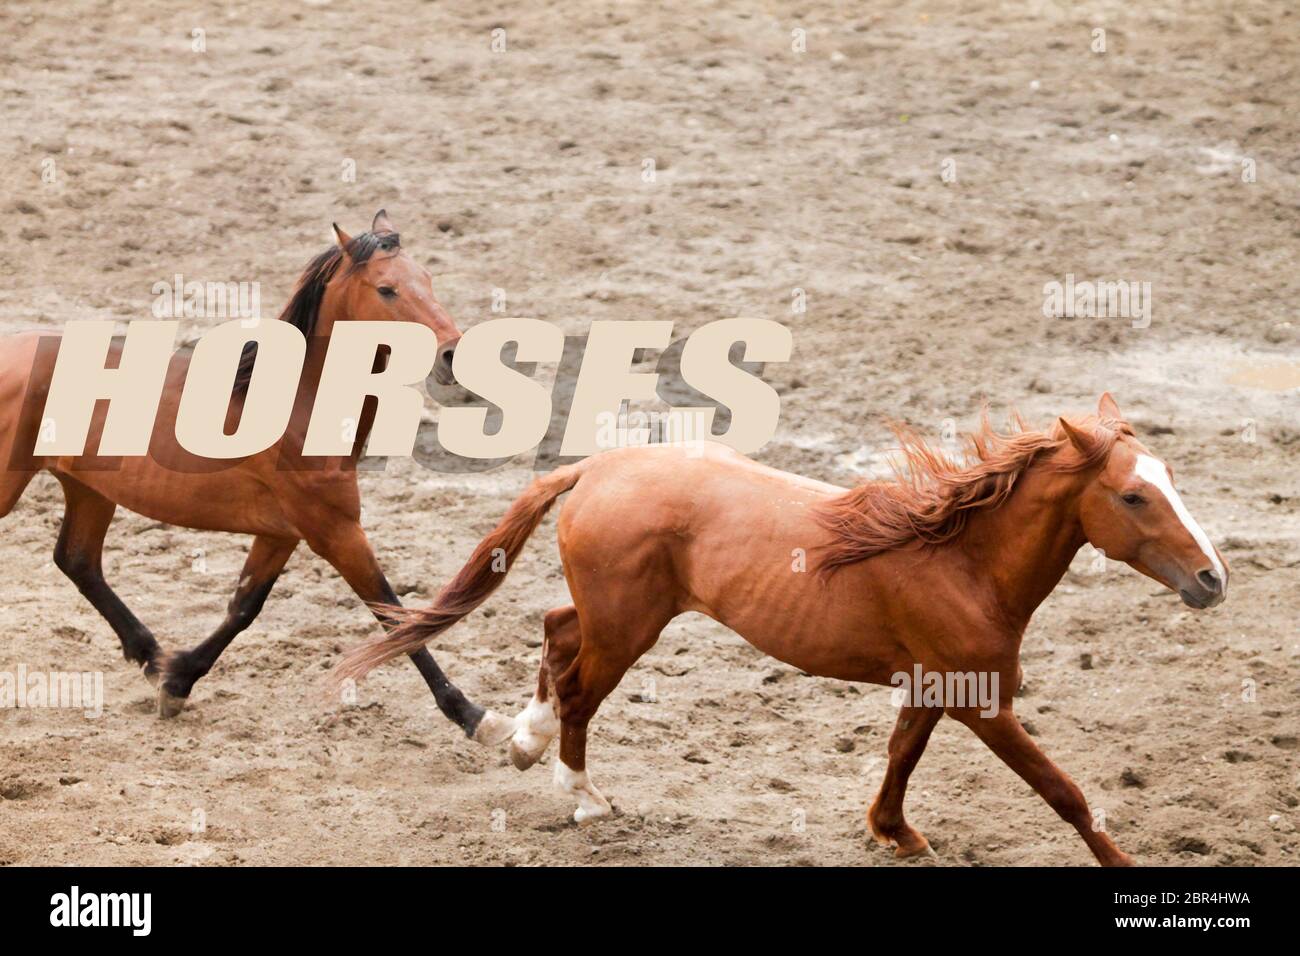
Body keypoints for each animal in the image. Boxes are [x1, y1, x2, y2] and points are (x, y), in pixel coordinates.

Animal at [1, 209, 517, 743]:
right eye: (387, 289)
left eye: (428, 279)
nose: (452, 356)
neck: (298, 400)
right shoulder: (335, 530)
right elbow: (395, 614)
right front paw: (474, 716)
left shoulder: (282, 532)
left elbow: (244, 606)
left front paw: (177, 680)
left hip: (90, 489)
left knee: (78, 561)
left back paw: (149, 654)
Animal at [335, 395, 1227, 868]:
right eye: (1134, 496)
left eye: (1171, 481)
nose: (1214, 578)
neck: (960, 558)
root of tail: (594, 468)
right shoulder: (983, 705)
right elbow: (1064, 791)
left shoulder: (933, 684)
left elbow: (901, 754)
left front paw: (895, 832)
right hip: (629, 627)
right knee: (582, 689)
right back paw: (583, 796)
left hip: (613, 612)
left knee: (556, 633)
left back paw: (524, 739)